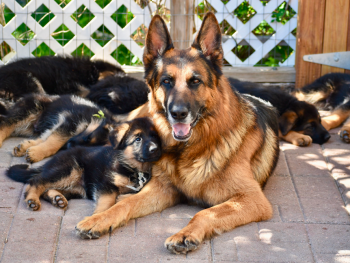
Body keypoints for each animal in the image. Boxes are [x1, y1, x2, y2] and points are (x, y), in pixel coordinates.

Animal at [6, 117, 163, 214]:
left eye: (155, 137)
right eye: (138, 139)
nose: (155, 149)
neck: (135, 168)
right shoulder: (105, 184)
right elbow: (108, 201)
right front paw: (99, 216)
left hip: (76, 188)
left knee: (47, 189)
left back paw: (57, 198)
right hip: (69, 170)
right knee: (37, 181)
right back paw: (32, 199)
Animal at [74, 12, 278, 256]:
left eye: (196, 81)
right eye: (166, 81)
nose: (178, 114)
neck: (189, 150)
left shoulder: (251, 199)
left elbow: (205, 212)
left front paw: (185, 234)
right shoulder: (162, 188)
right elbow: (125, 202)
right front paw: (100, 218)